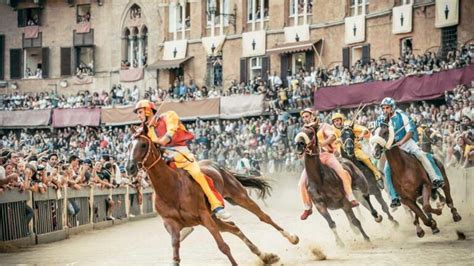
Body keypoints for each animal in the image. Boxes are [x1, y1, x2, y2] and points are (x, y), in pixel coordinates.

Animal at [125, 129, 296, 266]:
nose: (129, 167)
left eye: (143, 145)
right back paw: (266, 256)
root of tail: (219, 166)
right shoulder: (172, 224)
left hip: (239, 197)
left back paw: (292, 237)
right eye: (128, 146)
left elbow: (223, 246)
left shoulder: (204, 216)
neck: (171, 189)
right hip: (216, 217)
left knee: (264, 217)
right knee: (233, 227)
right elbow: (175, 257)